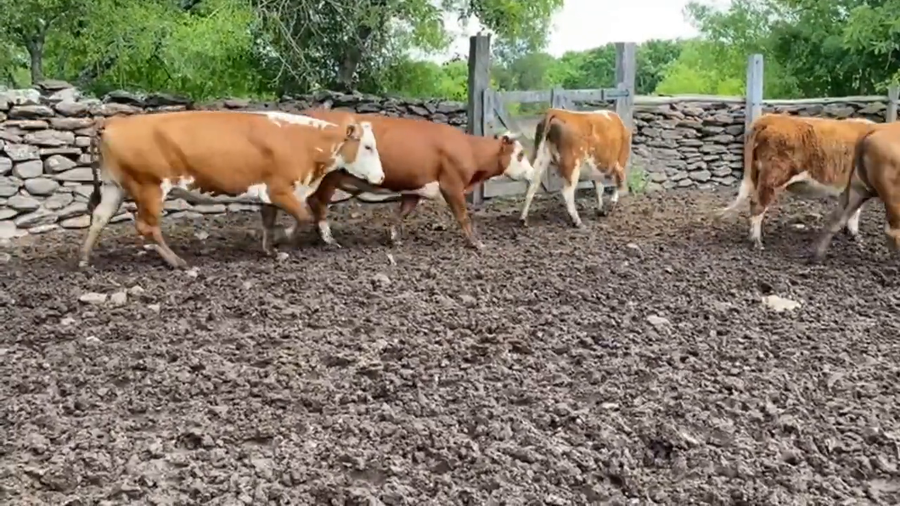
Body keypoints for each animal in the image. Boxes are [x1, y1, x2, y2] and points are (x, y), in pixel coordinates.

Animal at [78, 110, 384, 269]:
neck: (301, 141)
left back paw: (84, 259)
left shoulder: (268, 195)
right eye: (368, 146)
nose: (381, 177)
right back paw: (178, 261)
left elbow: (268, 222)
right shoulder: (280, 191)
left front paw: (271, 249)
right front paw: (282, 239)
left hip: (114, 186)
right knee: (146, 227)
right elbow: (302, 217)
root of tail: (113, 121)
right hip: (149, 187)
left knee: (100, 217)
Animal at [265, 109, 535, 250]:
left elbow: (401, 213)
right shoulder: (452, 186)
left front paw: (394, 237)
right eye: (521, 154)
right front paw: (477, 243)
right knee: (318, 205)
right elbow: (463, 216)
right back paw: (328, 238)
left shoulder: (414, 189)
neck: (468, 148)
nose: (532, 172)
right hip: (329, 180)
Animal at [717, 113, 878, 250]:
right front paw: (855, 235)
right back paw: (757, 242)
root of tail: (770, 117)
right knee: (758, 204)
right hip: (773, 178)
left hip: (757, 176)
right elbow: (855, 211)